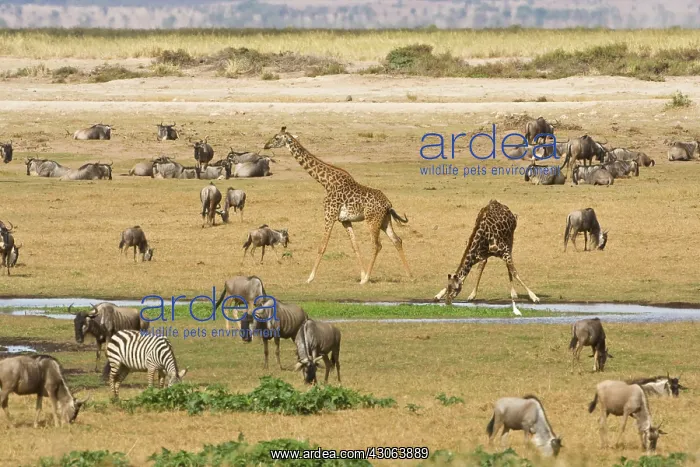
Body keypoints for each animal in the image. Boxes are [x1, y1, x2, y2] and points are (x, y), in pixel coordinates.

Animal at [263, 126, 412, 284]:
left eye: (277, 138)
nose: (266, 145)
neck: (326, 182)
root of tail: (388, 204)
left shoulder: (329, 215)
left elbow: (322, 246)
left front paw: (310, 278)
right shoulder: (345, 220)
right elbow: (355, 246)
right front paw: (362, 274)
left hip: (372, 220)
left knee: (377, 245)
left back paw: (367, 279)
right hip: (384, 221)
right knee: (397, 240)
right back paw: (410, 275)